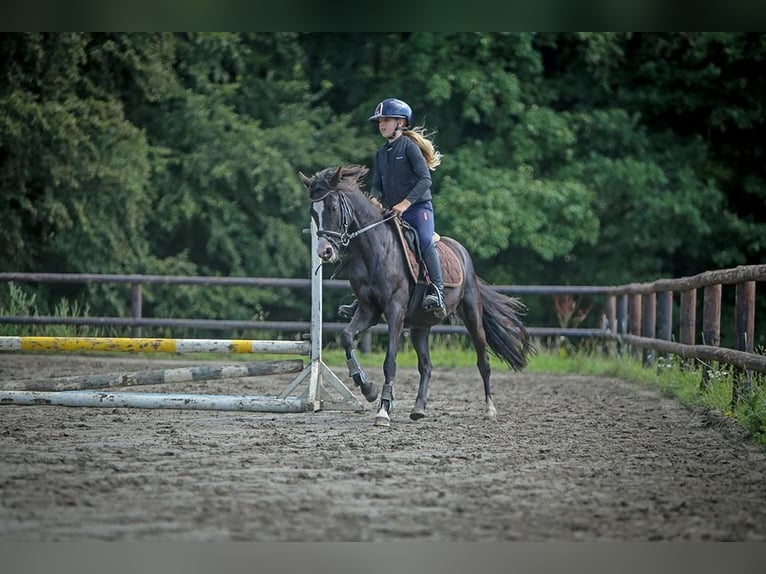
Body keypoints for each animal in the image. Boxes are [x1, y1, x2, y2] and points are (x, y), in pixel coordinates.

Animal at [302, 165, 536, 428]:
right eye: (313, 211)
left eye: (333, 207)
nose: (324, 251)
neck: (375, 249)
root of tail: (462, 252)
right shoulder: (368, 309)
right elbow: (346, 338)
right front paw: (368, 388)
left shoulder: (395, 310)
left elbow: (390, 361)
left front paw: (383, 411)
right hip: (419, 327)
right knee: (426, 366)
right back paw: (418, 408)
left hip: (472, 314)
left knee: (482, 360)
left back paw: (490, 409)